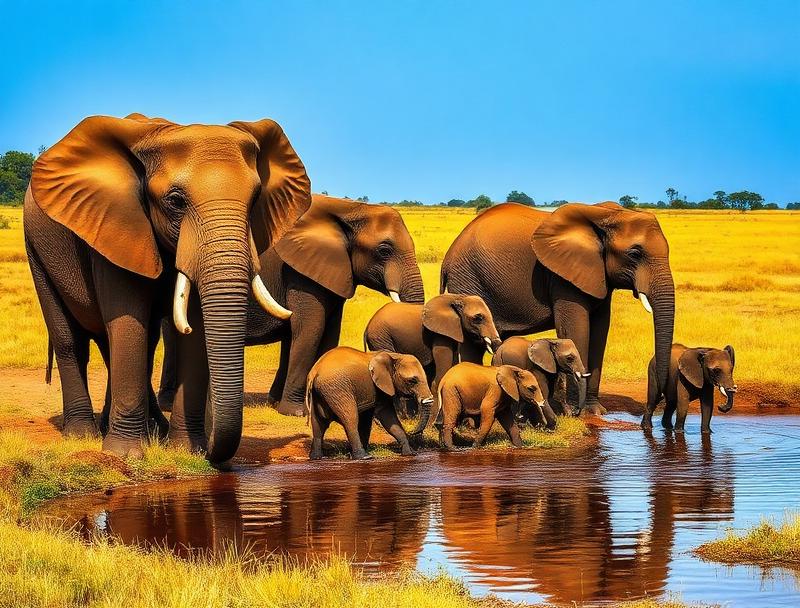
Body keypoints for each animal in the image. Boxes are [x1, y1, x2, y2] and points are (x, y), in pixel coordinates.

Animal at [24, 114, 311, 462]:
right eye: (175, 201)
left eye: (255, 200)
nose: (211, 449)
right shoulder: (117, 225)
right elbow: (128, 321)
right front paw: (125, 455)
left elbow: (192, 330)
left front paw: (187, 450)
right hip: (36, 250)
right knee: (70, 340)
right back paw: (83, 434)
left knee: (133, 344)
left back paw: (148, 429)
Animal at [158, 194, 425, 416]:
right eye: (384, 250)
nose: (409, 413)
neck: (349, 209)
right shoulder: (299, 272)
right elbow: (310, 329)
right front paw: (295, 412)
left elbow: (325, 333)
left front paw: (277, 402)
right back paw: (169, 405)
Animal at [306, 347, 434, 460]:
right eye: (412, 381)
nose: (412, 431)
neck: (394, 355)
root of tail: (314, 372)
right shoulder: (380, 388)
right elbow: (387, 416)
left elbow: (366, 421)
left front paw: (410, 453)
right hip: (337, 390)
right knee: (351, 419)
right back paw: (364, 457)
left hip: (320, 393)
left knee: (318, 423)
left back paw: (316, 457)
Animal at [363, 294, 502, 415]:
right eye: (478, 318)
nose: (498, 344)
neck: (458, 297)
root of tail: (368, 325)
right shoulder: (440, 333)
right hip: (381, 336)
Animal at [441, 202, 675, 415]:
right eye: (634, 254)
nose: (660, 401)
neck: (606, 215)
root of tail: (449, 255)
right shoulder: (563, 277)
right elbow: (577, 331)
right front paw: (573, 412)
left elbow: (600, 331)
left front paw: (595, 411)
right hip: (469, 280)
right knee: (473, 344)